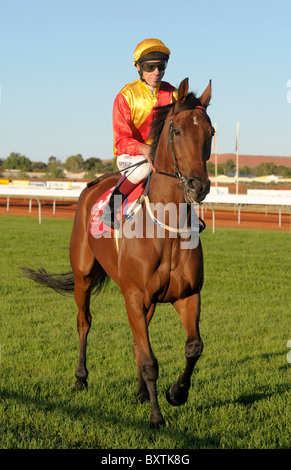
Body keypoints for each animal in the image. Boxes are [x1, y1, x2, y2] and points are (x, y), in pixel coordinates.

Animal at [22, 79, 214, 428]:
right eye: (178, 130)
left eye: (210, 131)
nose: (199, 185)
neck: (165, 230)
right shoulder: (135, 295)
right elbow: (151, 361)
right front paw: (156, 417)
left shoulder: (187, 294)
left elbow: (193, 347)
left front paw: (176, 393)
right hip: (84, 275)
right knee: (84, 321)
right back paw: (81, 378)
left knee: (139, 339)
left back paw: (140, 391)